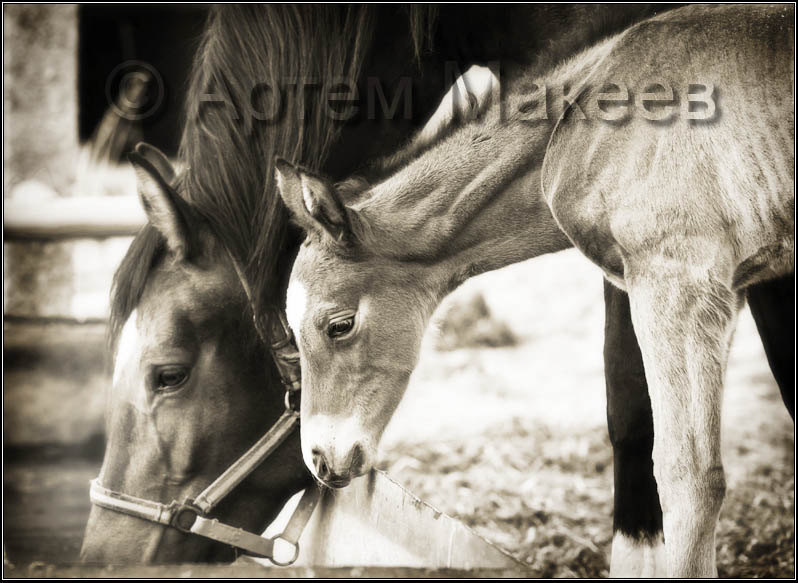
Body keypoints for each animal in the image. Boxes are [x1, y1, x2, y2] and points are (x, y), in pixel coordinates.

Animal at [276, 4, 792, 580]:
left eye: (339, 325)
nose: (320, 459)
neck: (585, 112)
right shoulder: (728, 290)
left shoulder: (680, 285)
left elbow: (691, 477)